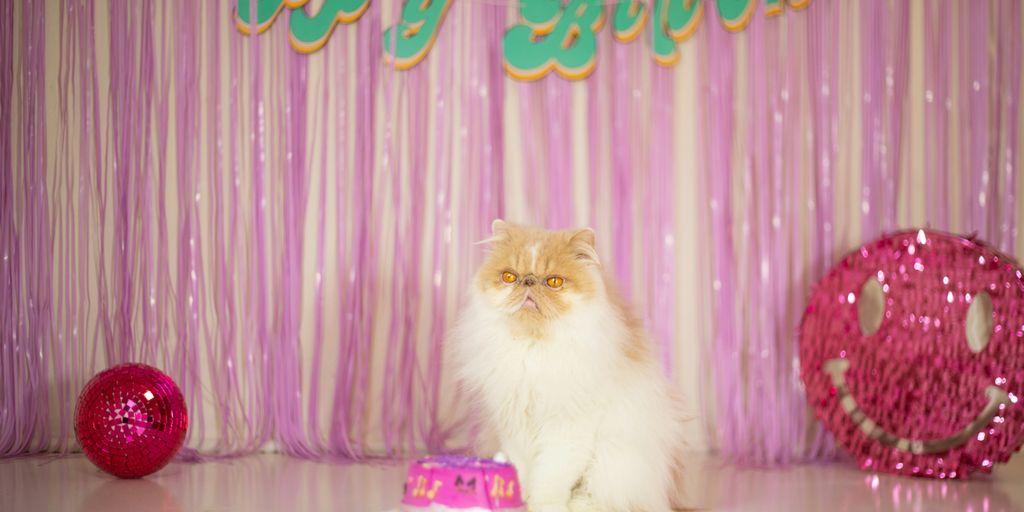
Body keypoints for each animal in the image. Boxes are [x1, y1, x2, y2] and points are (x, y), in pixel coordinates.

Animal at [450, 220, 684, 512]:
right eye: (509, 277)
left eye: (554, 282)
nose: (528, 280)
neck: (534, 348)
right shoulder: (514, 425)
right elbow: (522, 471)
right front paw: (518, 500)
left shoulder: (567, 429)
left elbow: (550, 479)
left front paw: (543, 505)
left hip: (615, 460)